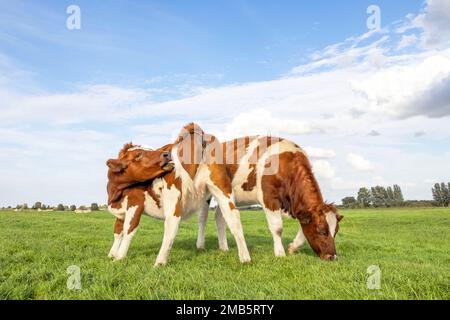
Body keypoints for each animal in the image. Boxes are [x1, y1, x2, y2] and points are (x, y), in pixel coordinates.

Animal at [107, 124, 251, 266]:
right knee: (232, 217)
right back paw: (244, 257)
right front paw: (112, 253)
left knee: (172, 224)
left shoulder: (135, 203)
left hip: (172, 194)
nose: (166, 154)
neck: (116, 193)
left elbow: (128, 229)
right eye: (138, 155)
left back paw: (160, 262)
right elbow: (117, 231)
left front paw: (119, 257)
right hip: (220, 189)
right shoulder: (121, 212)